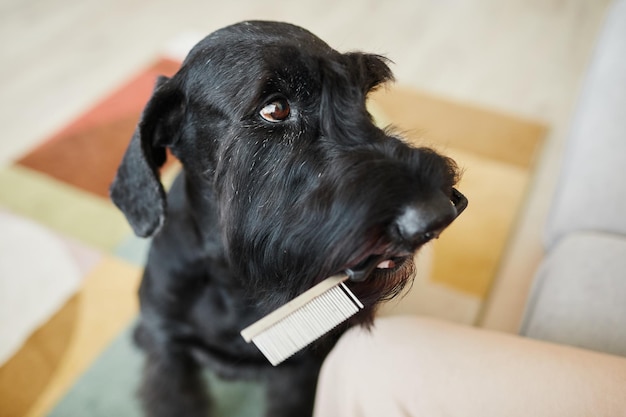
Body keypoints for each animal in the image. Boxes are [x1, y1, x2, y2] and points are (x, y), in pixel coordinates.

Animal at [109, 20, 464, 416]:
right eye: (275, 109)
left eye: (362, 96)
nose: (439, 214)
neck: (233, 277)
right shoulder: (170, 354)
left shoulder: (300, 370)